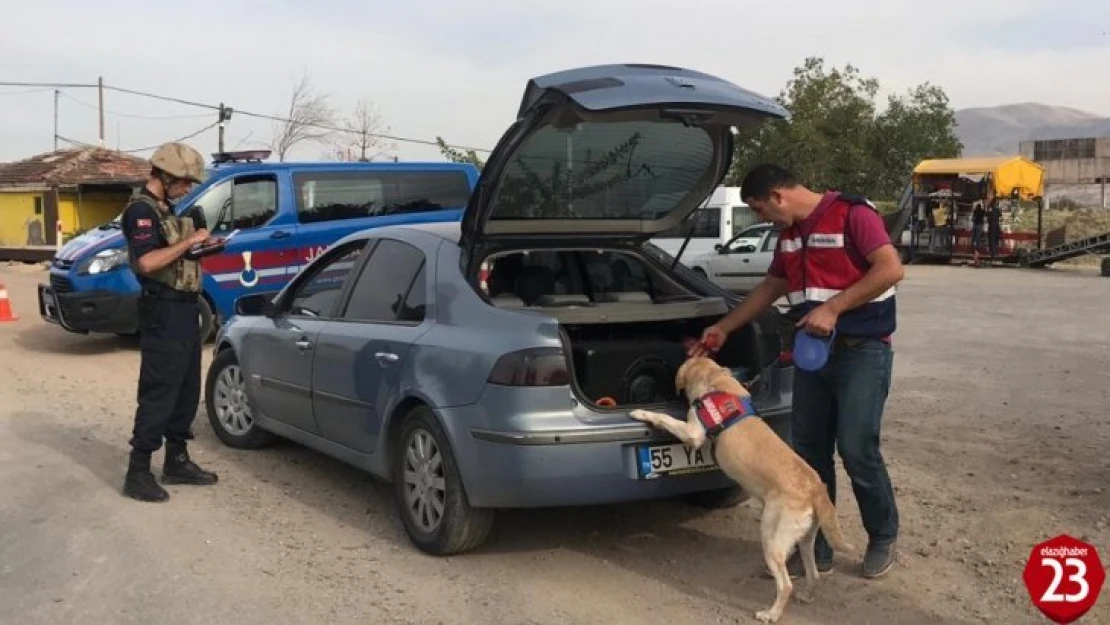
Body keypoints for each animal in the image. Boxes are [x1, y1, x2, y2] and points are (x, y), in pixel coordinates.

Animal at [634, 355, 848, 621]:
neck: (716, 382)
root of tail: (815, 487)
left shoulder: (693, 433)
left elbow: (667, 419)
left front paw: (642, 412)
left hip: (771, 539)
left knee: (785, 585)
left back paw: (771, 614)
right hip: (806, 539)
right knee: (814, 574)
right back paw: (807, 596)